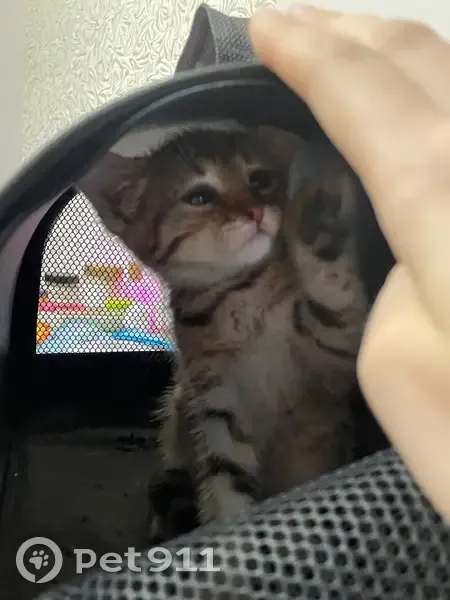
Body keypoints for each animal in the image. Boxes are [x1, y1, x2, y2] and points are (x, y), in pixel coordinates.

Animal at [78, 125, 368, 542]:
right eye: (199, 196)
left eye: (260, 180)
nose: (256, 210)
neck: (241, 295)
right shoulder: (217, 404)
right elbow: (225, 481)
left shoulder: (336, 356)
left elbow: (332, 297)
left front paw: (322, 214)